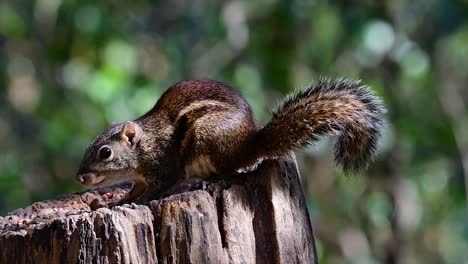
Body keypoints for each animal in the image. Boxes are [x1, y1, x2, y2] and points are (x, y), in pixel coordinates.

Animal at [76, 78, 384, 206]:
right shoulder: (140, 178)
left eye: (105, 152)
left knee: (233, 174)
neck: (145, 144)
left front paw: (139, 202)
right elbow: (134, 190)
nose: (79, 177)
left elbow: (159, 187)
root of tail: (251, 143)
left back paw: (208, 181)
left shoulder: (164, 166)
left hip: (209, 138)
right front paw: (117, 202)